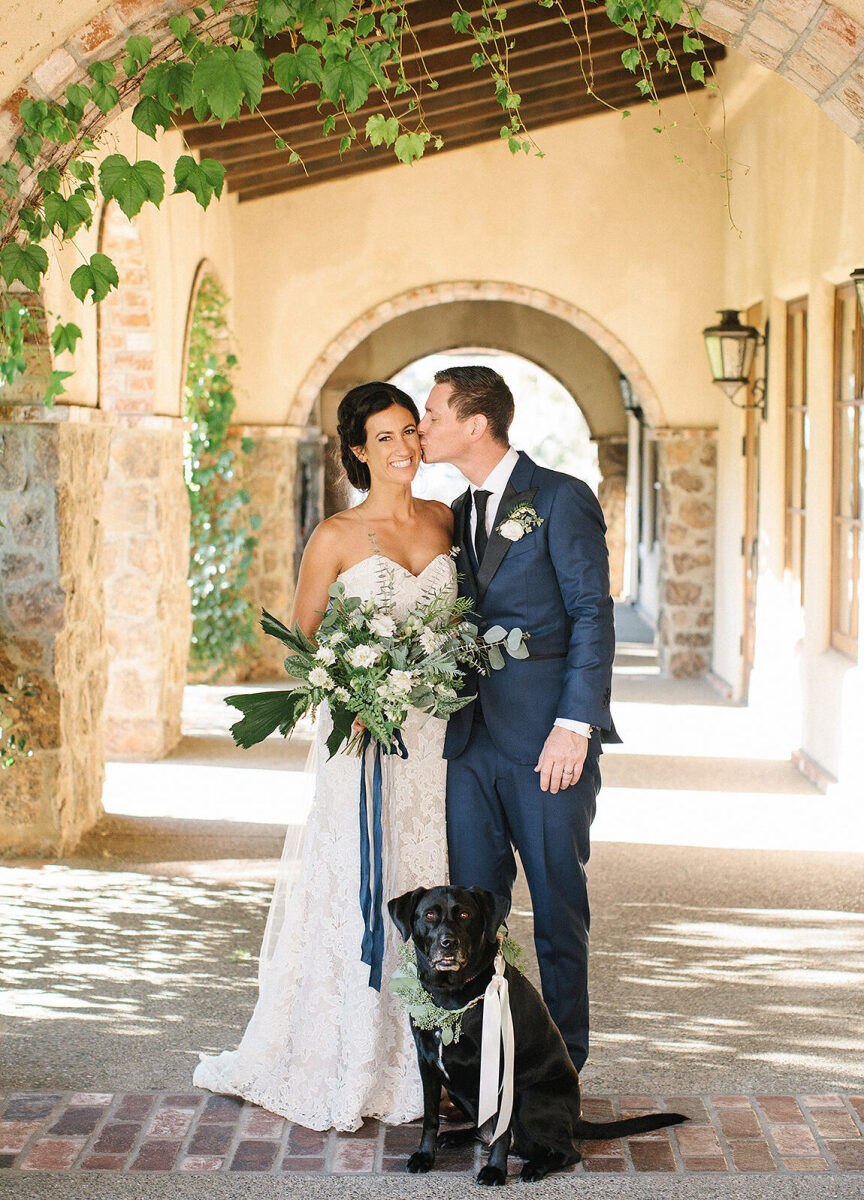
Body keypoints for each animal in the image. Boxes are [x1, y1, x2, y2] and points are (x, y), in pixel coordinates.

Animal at [388, 888, 686, 1185]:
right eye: (429, 915)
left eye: (464, 915)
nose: (448, 943)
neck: (450, 996)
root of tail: (574, 1119)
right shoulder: (427, 1063)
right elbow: (430, 1119)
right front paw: (424, 1156)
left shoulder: (499, 1068)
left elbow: (502, 1131)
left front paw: (496, 1170)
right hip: (458, 1090)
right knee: (486, 1129)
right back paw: (456, 1136)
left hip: (530, 1100)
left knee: (567, 1151)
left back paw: (535, 1167)